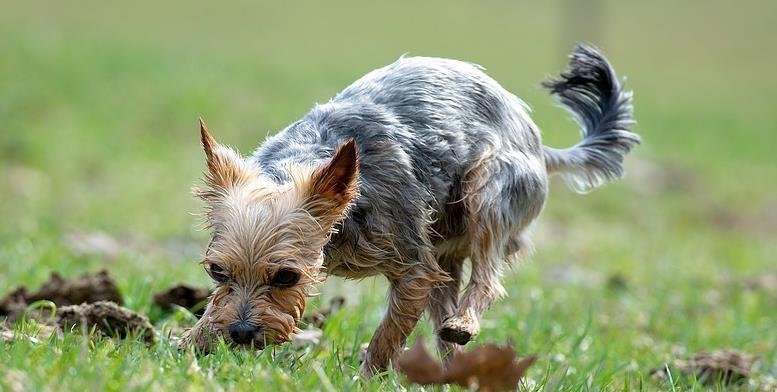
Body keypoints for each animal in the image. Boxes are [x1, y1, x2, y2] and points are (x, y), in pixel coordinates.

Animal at [185, 43, 640, 376]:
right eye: (217, 272)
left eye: (286, 276)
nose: (242, 333)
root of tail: (538, 142)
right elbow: (215, 306)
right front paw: (192, 341)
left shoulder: (414, 267)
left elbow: (390, 331)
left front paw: (368, 376)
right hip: (445, 248)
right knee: (447, 311)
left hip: (488, 190)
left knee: (487, 277)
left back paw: (464, 324)